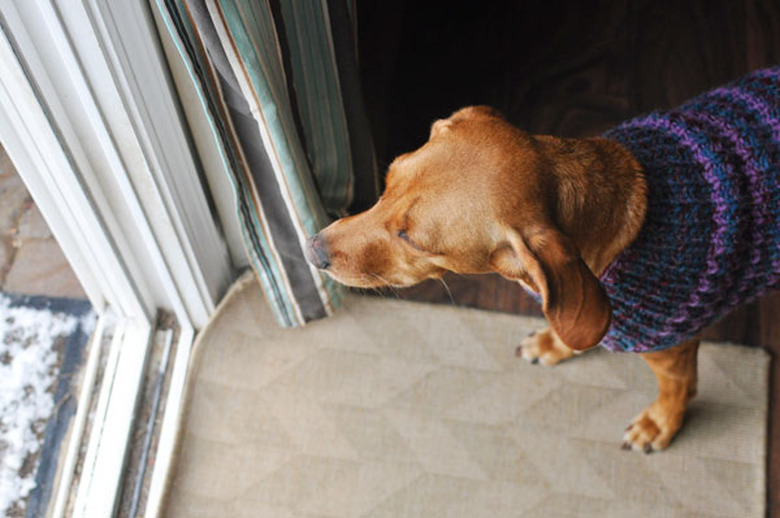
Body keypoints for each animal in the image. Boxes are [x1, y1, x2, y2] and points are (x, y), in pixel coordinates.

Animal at [306, 106, 700, 456]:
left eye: (412, 240)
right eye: (387, 183)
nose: (312, 250)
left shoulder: (673, 352)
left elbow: (677, 389)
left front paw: (661, 422)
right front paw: (555, 342)